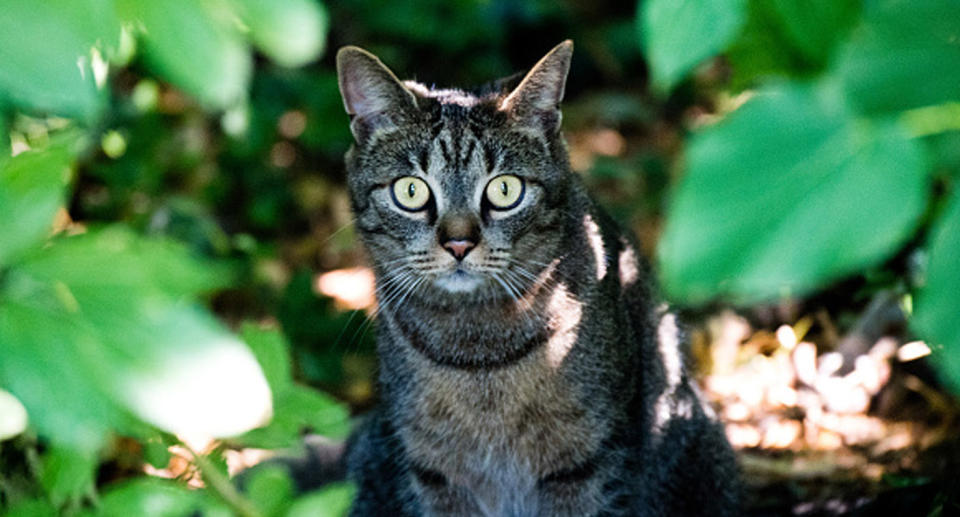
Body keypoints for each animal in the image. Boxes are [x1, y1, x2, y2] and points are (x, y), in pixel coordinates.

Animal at [334, 41, 740, 516]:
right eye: (411, 191)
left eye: (504, 189)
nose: (458, 243)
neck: (478, 355)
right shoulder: (432, 471)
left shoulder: (588, 463)